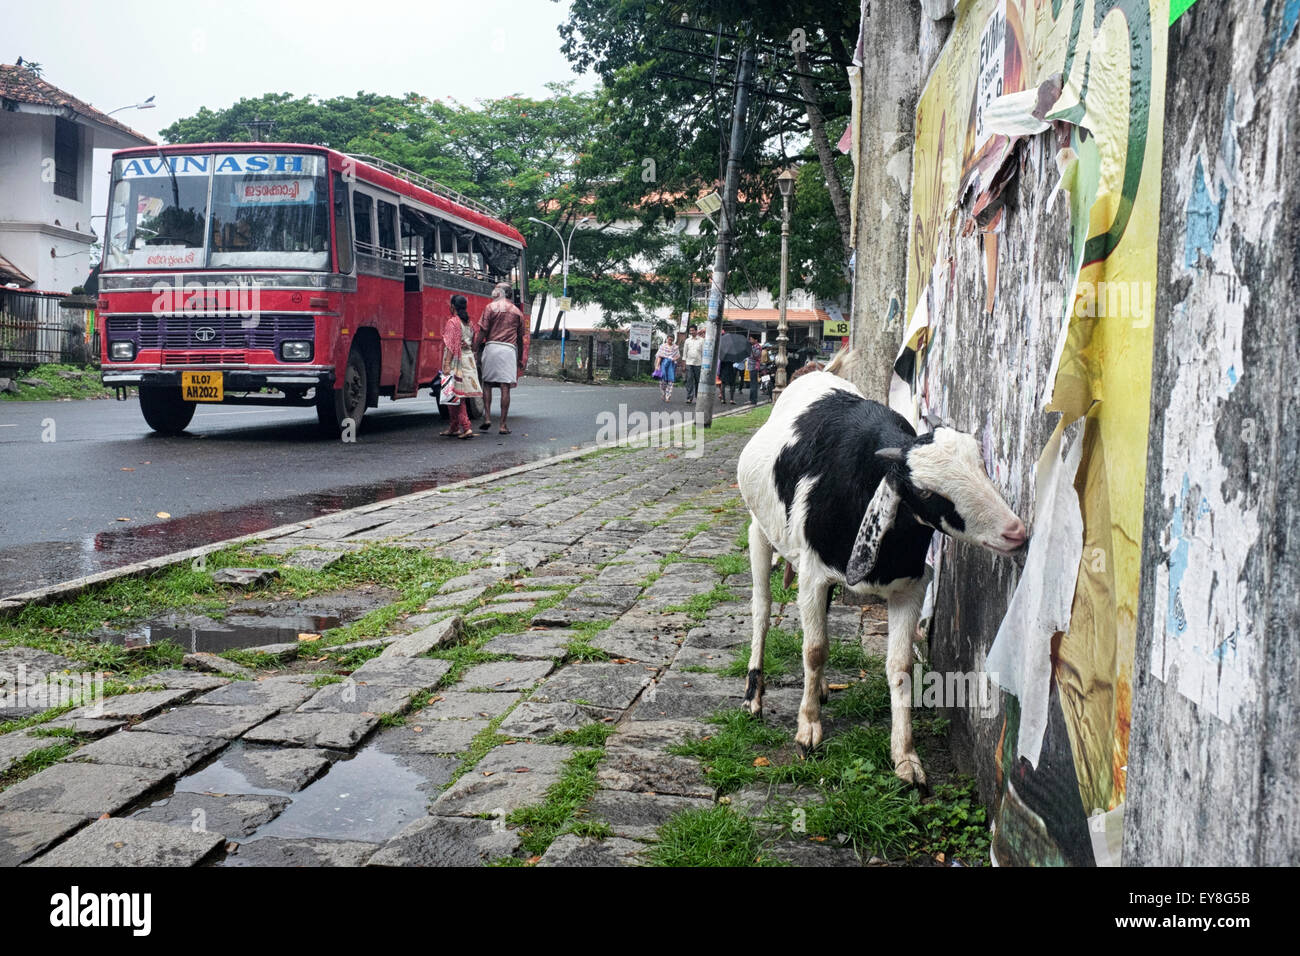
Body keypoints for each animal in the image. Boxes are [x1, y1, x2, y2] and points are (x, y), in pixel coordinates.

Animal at [743, 366, 1024, 785]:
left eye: (982, 463)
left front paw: (906, 757)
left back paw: (820, 688)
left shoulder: (911, 587)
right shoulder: (811, 574)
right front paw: (808, 729)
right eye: (926, 493)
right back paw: (753, 696)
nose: (1015, 533)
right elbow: (814, 649)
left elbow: (901, 667)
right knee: (761, 612)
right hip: (759, 532)